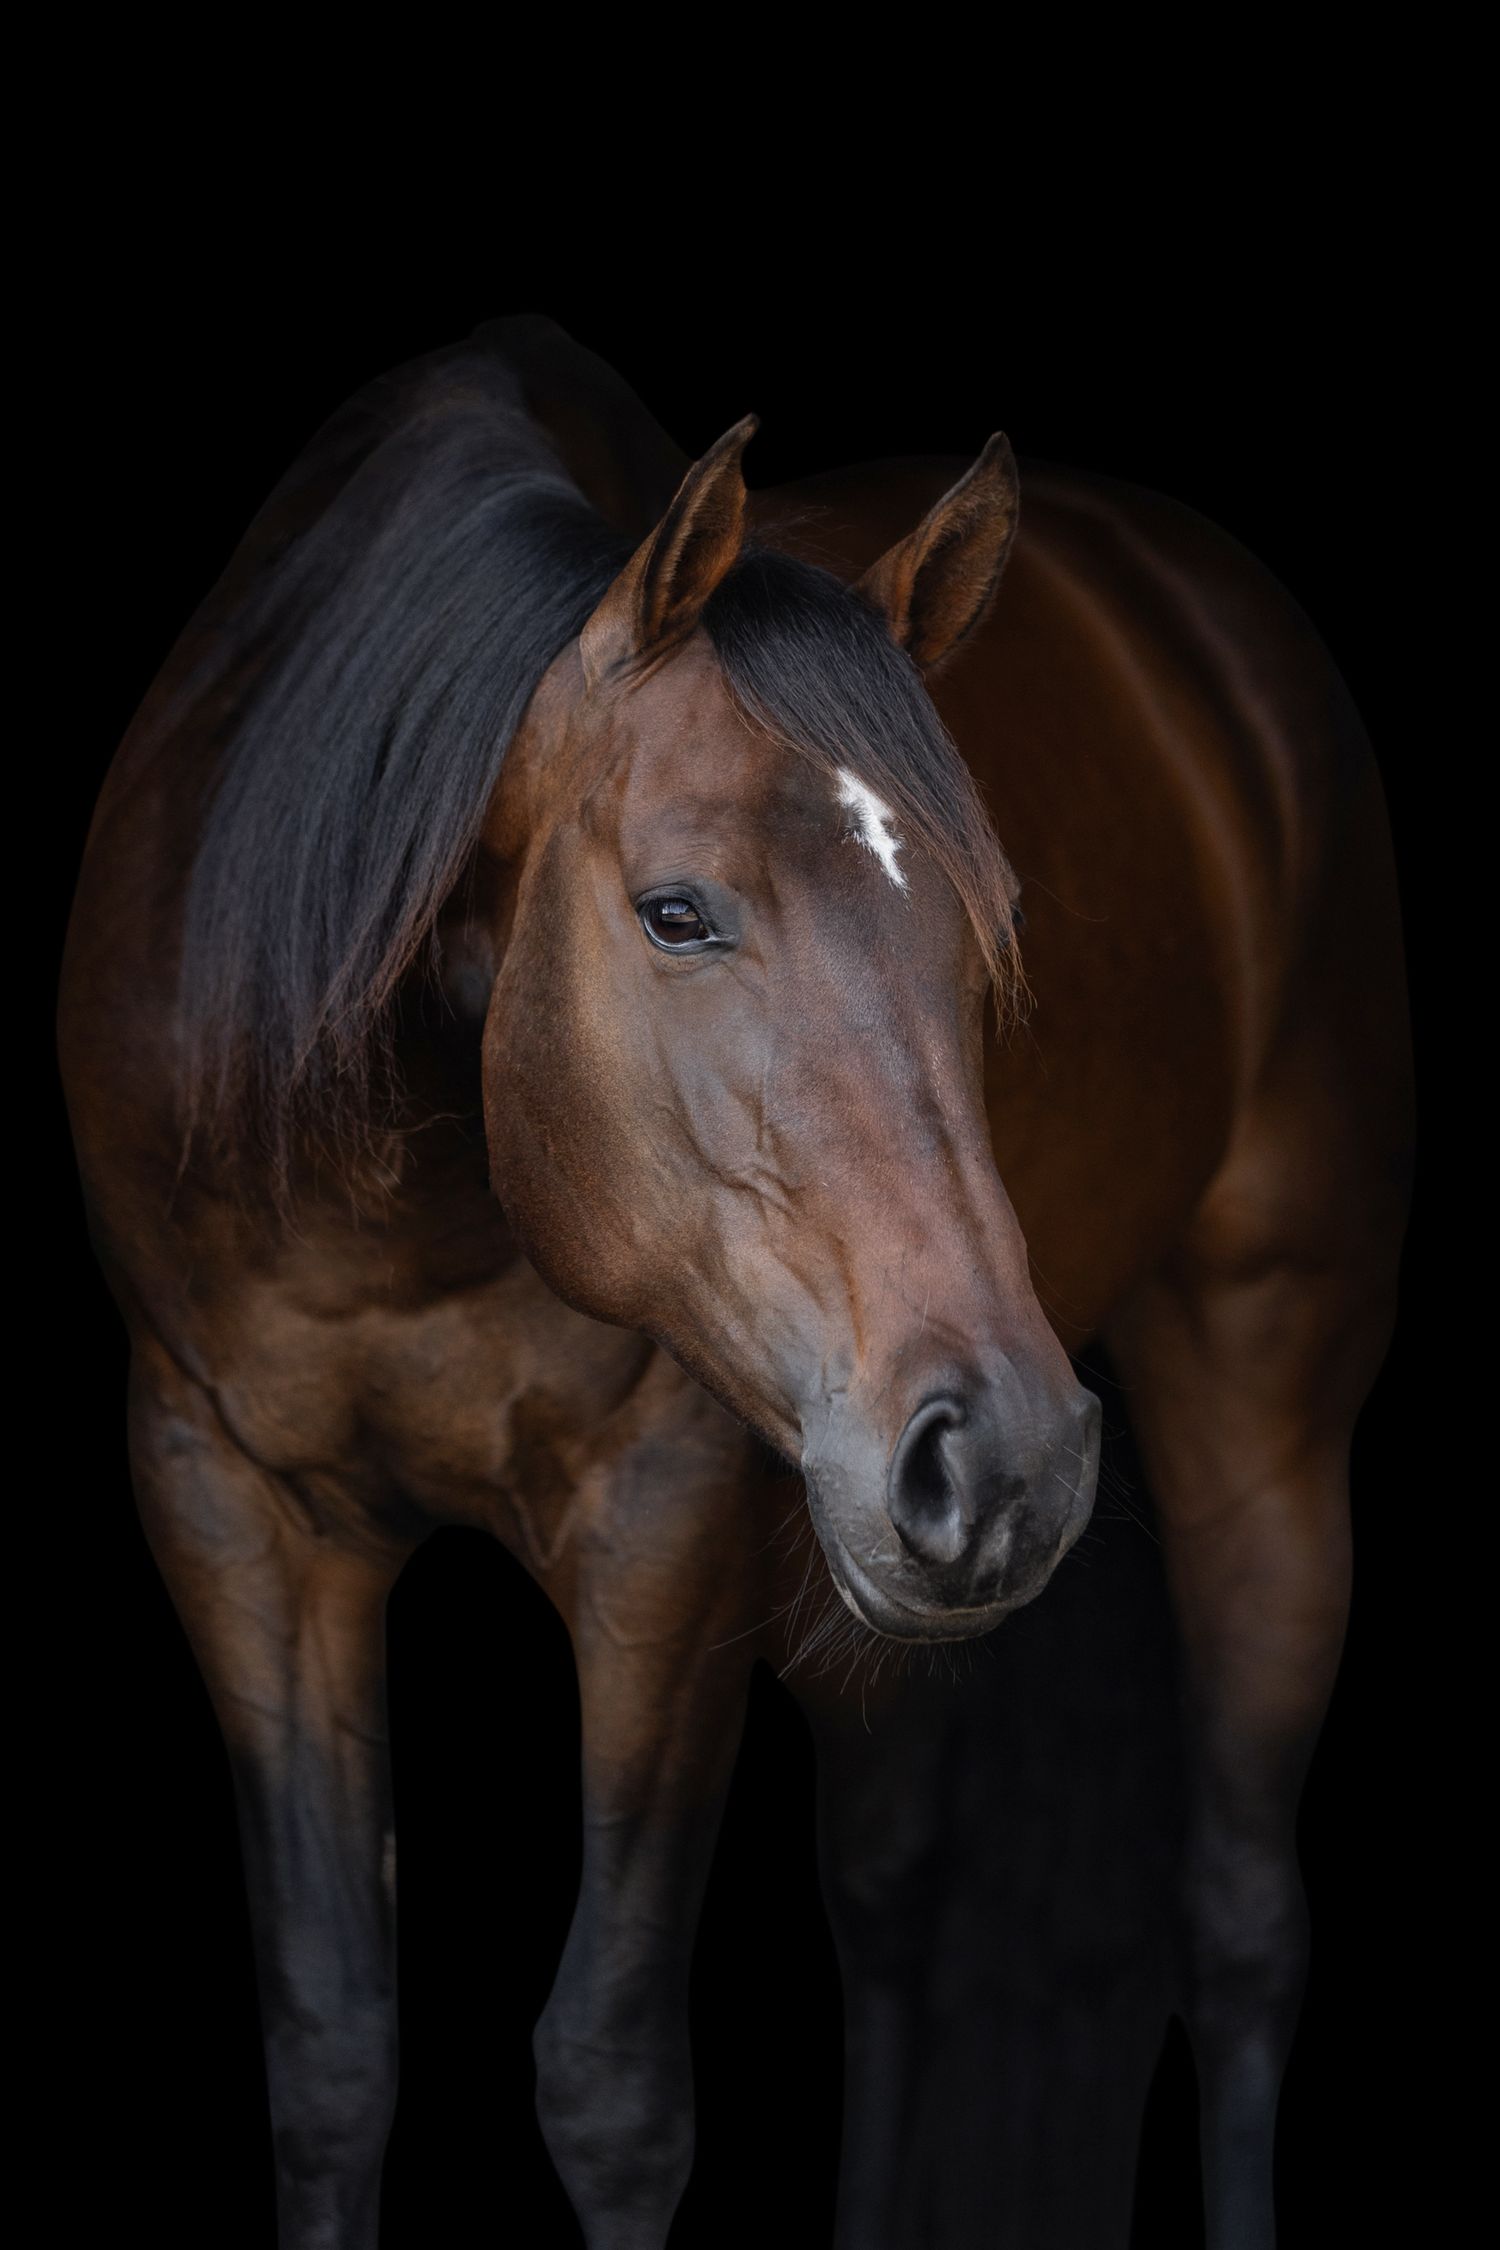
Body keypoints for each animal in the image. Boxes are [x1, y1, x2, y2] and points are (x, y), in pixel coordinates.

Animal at [58, 313, 1412, 2250]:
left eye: (995, 925)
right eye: (678, 911)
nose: (1010, 1449)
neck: (399, 1168)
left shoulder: (668, 1524)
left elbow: (611, 2081)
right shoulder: (230, 1503)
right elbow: (330, 2046)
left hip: (1261, 1403)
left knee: (1238, 1932)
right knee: (895, 1899)